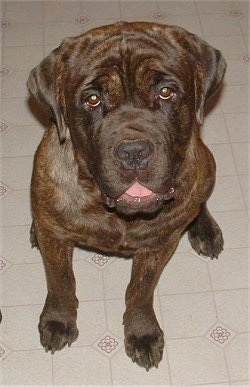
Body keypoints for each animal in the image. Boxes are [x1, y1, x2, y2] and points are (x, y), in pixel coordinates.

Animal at [28, 20, 226, 370]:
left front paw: (142, 332)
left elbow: (140, 290)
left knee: (199, 201)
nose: (133, 152)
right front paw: (59, 320)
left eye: (166, 92)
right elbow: (61, 280)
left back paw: (205, 229)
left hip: (207, 163)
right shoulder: (56, 237)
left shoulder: (159, 245)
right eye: (92, 99)